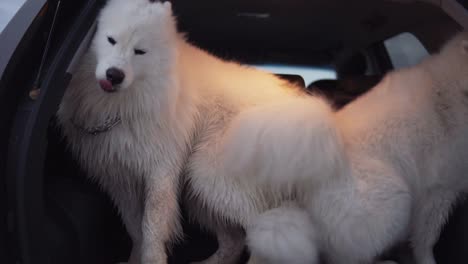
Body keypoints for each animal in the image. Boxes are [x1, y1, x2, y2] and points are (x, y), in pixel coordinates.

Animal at [59, 1, 344, 262]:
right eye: (110, 40)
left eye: (140, 51)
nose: (114, 75)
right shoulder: (118, 176)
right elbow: (134, 229)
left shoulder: (160, 172)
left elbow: (152, 229)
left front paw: (152, 259)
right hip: (199, 189)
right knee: (234, 240)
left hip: (208, 175)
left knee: (268, 229)